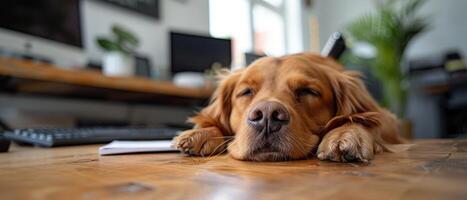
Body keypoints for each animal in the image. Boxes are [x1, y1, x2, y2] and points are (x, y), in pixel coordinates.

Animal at [172, 52, 402, 162]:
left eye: (308, 91)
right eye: (246, 92)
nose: (266, 116)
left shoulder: (387, 118)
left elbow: (363, 118)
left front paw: (346, 134)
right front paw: (202, 133)